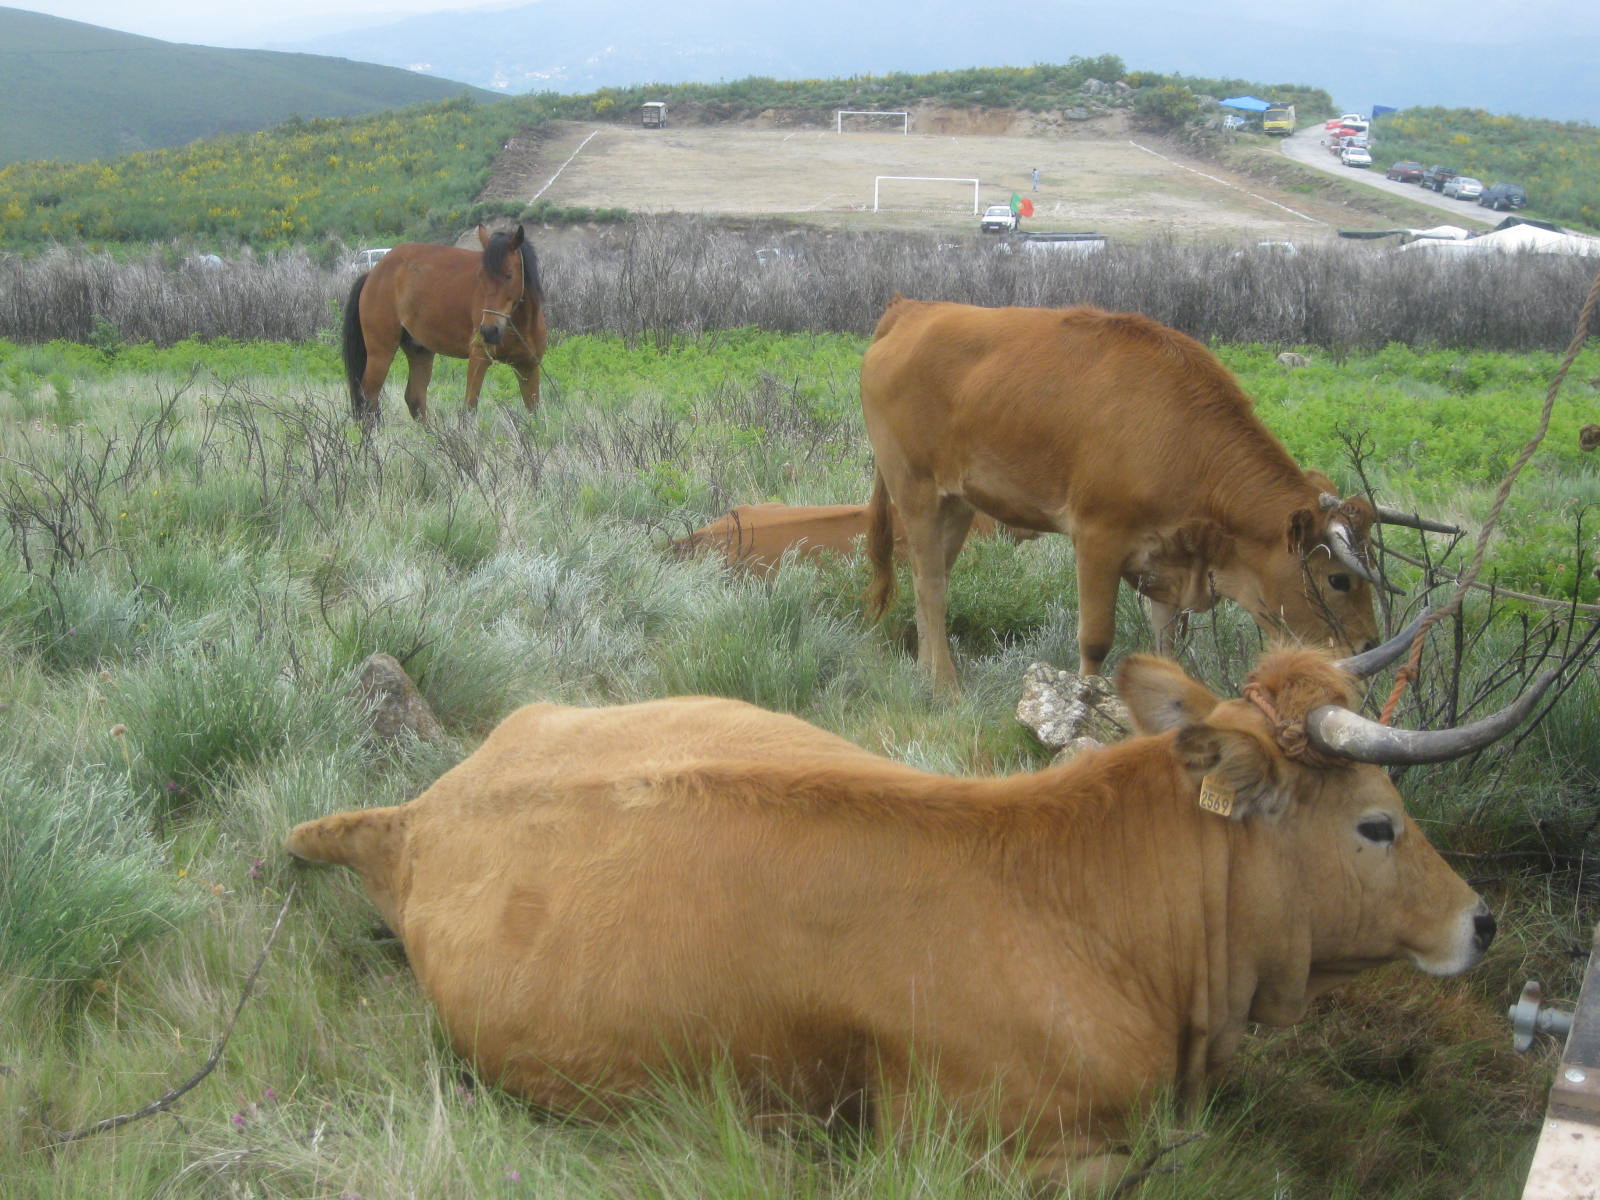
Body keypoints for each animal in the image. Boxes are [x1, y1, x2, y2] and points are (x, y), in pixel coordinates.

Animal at [340, 225, 547, 422]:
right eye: (481, 277)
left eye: (509, 275)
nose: (489, 331)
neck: (520, 325)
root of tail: (373, 273)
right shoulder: (479, 360)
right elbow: (469, 410)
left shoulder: (528, 367)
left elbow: (534, 411)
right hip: (380, 354)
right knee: (368, 398)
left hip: (419, 352)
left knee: (415, 399)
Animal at [857, 299, 1420, 691]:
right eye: (1339, 579)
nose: (1368, 644)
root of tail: (913, 308)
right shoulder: (1098, 537)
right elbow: (1096, 638)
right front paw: (1083, 705)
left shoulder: (1170, 557)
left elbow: (1168, 639)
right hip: (914, 488)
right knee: (930, 584)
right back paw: (944, 684)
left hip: (956, 502)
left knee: (931, 578)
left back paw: (925, 668)